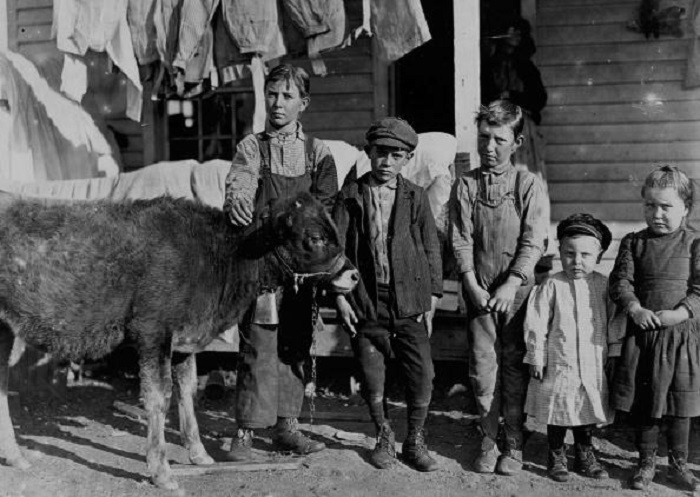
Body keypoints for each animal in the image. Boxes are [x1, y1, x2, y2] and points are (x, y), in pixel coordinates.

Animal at [0, 193, 356, 488]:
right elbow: (160, 396)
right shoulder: (152, 332)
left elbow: (187, 391)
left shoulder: (184, 341)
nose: (353, 274)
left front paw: (199, 454)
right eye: (315, 238)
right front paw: (162, 472)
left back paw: (16, 457)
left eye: (335, 231)